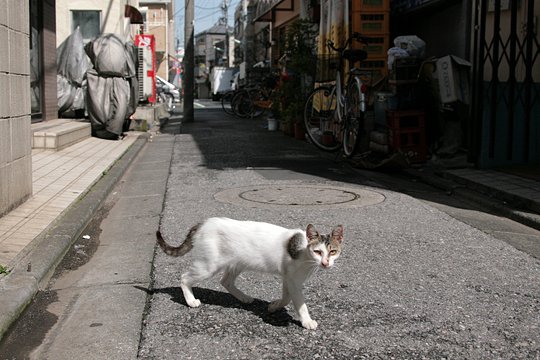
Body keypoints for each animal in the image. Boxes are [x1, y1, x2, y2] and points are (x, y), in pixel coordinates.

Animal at [155, 217, 342, 330]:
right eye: (318, 251)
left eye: (332, 252)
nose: (325, 263)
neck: (304, 253)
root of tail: (203, 223)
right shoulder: (292, 280)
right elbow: (298, 302)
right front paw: (306, 320)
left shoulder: (288, 278)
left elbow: (286, 297)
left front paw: (274, 306)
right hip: (208, 266)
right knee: (184, 278)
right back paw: (191, 300)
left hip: (237, 263)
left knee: (226, 281)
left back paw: (244, 298)